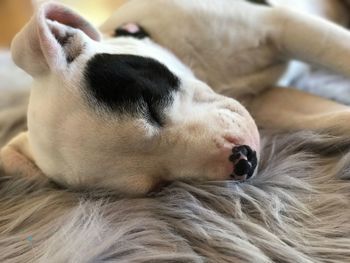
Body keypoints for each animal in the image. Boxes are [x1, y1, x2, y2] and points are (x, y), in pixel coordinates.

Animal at [2, 0, 350, 196]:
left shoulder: (285, 25)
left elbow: (337, 49)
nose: (245, 162)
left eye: (148, 104)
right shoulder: (266, 102)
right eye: (156, 185)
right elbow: (333, 118)